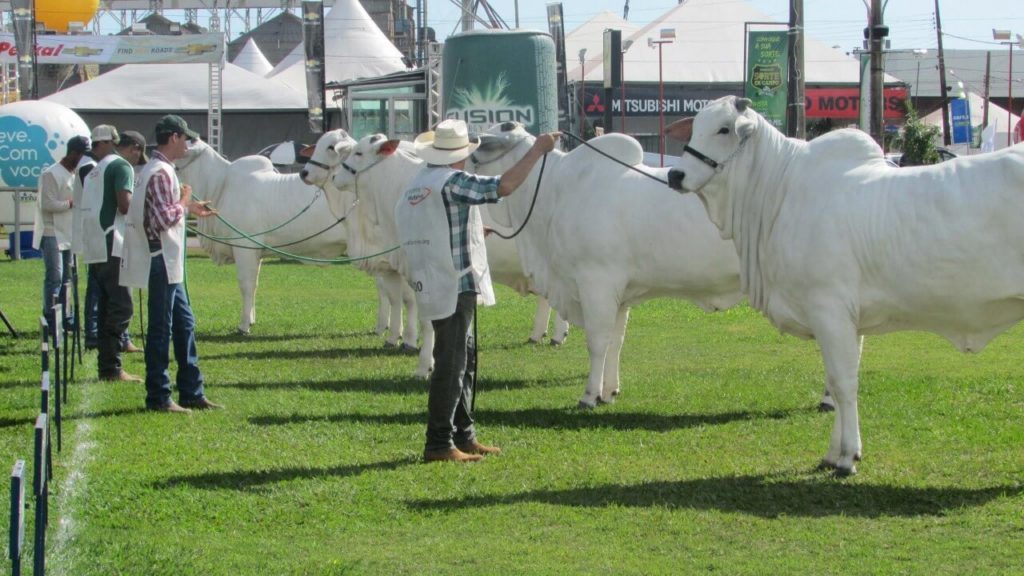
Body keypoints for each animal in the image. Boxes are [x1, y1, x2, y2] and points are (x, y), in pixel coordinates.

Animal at [180, 138, 360, 332]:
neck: (221, 184)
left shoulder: (245, 246)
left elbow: (246, 284)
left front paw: (244, 326)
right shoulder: (256, 251)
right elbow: (255, 284)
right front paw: (251, 319)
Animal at [468, 122, 745, 405]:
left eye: (481, 145)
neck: (554, 188)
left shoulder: (597, 283)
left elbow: (598, 341)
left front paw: (590, 395)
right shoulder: (620, 295)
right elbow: (616, 341)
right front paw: (610, 391)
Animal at [667, 91, 1024, 473]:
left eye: (723, 129)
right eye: (695, 127)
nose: (676, 174)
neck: (778, 193)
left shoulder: (829, 309)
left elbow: (842, 383)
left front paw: (848, 456)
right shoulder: (848, 319)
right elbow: (838, 382)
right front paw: (833, 453)